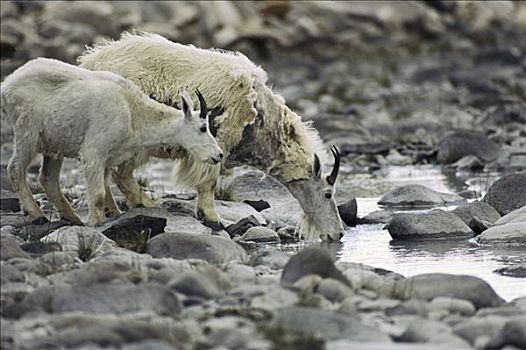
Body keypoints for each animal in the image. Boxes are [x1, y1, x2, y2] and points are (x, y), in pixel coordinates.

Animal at [0, 58, 223, 224]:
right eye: (203, 128)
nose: (218, 155)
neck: (133, 113)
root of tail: (6, 85)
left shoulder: (108, 157)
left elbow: (106, 188)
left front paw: (113, 215)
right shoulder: (94, 152)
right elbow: (99, 193)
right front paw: (96, 223)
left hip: (54, 144)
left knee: (48, 177)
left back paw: (71, 217)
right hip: (27, 132)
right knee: (15, 169)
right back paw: (36, 214)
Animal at [76, 32, 344, 241]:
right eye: (327, 193)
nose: (338, 233)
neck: (263, 119)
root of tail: (87, 64)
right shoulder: (217, 144)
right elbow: (209, 183)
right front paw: (214, 218)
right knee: (119, 173)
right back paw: (147, 206)